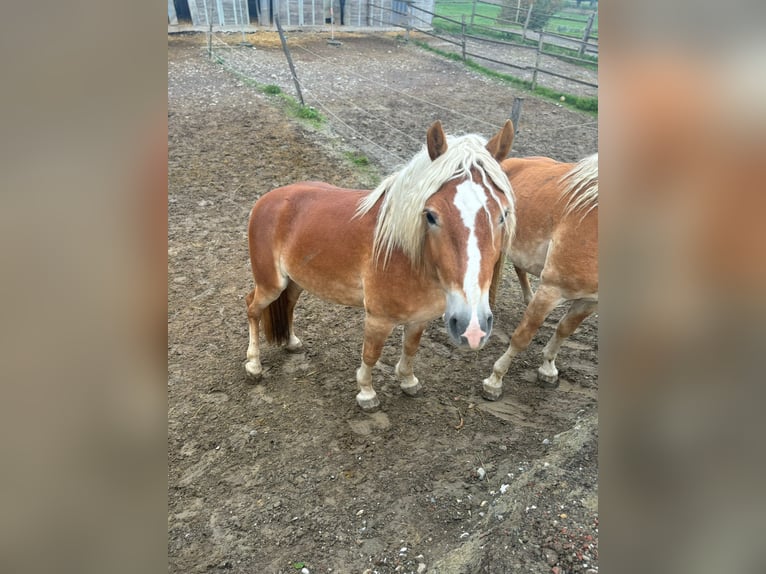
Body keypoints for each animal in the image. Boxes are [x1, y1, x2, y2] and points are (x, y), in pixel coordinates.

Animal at [246, 120, 516, 410]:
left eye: (503, 214)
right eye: (431, 215)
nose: (473, 328)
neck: (408, 257)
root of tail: (268, 199)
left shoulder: (420, 318)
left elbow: (410, 348)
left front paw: (408, 381)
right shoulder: (378, 319)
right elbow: (371, 354)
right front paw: (366, 393)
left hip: (295, 280)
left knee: (289, 304)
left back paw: (291, 342)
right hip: (271, 283)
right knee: (252, 307)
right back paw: (253, 365)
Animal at [480, 154, 600, 404]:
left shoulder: (590, 301)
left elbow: (564, 329)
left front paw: (548, 369)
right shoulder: (551, 290)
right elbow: (522, 337)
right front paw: (494, 382)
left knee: (519, 267)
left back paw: (527, 297)